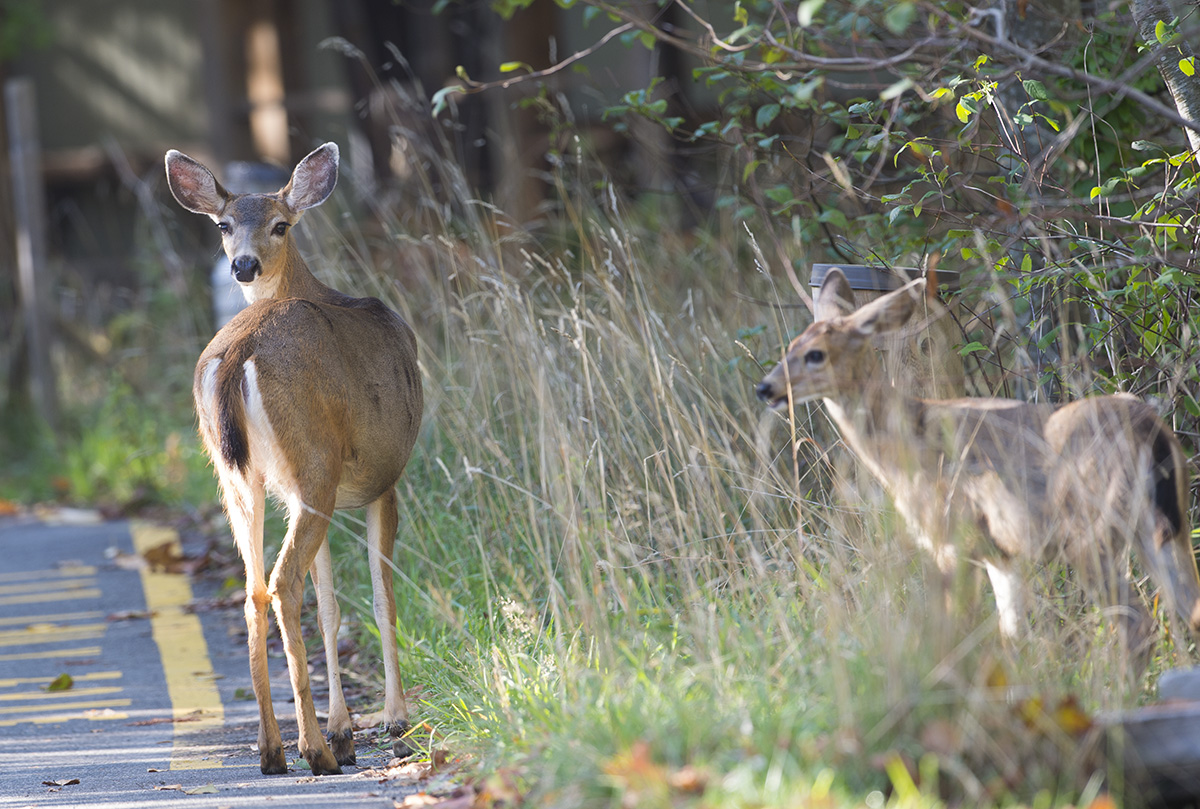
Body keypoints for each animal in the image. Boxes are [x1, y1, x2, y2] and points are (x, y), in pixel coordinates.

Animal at [164, 141, 424, 772]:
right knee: (282, 584)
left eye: (280, 224)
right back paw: (312, 750)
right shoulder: (385, 480)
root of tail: (237, 353)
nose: (243, 265)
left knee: (254, 591)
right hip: (312, 465)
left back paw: (274, 750)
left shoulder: (312, 495)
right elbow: (382, 599)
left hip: (240, 479)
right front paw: (391, 720)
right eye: (224, 225)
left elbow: (331, 605)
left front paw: (345, 729)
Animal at [758, 267, 1200, 657]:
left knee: (1137, 625)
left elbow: (958, 628)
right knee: (1188, 611)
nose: (766, 388)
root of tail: (1150, 430)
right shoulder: (1001, 554)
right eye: (789, 348)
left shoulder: (953, 534)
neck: (908, 440)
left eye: (816, 354)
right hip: (1166, 526)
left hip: (1091, 531)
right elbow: (1013, 635)